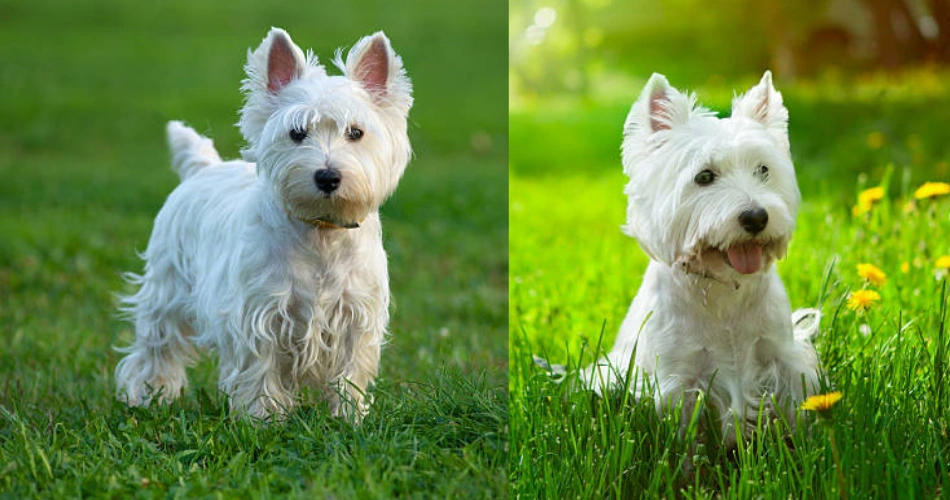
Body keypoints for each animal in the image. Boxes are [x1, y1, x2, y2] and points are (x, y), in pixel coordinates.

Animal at [115, 25, 412, 420]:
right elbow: (261, 368)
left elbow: (351, 372)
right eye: (297, 132)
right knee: (156, 347)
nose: (327, 176)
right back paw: (148, 397)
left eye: (355, 132)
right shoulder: (259, 314)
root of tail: (204, 167)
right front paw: (262, 418)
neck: (320, 232)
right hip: (167, 288)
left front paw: (350, 417)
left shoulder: (356, 316)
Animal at [584, 71, 820, 446]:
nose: (756, 217)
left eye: (763, 170)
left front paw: (805, 445)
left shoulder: (782, 357)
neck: (723, 287)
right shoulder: (679, 378)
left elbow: (796, 409)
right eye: (704, 177)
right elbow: (686, 439)